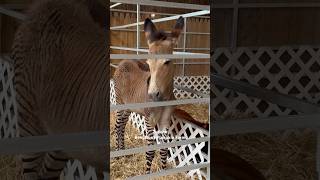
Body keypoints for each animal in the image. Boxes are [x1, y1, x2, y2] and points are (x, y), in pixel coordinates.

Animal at [112, 16, 184, 173]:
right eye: (148, 63)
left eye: (167, 62)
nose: (152, 95)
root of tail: (123, 61)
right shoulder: (149, 120)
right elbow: (150, 151)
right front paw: (147, 172)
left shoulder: (165, 120)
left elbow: (163, 149)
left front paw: (163, 171)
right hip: (120, 103)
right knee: (118, 125)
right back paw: (118, 154)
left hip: (129, 107)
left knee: (122, 126)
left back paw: (123, 152)